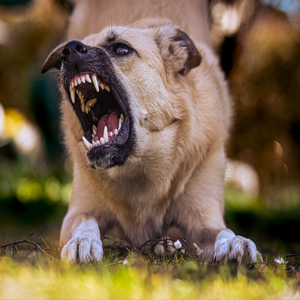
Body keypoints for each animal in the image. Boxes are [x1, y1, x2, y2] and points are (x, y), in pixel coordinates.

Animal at [41, 0, 258, 262]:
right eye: (66, 52)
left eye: (121, 49)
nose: (69, 49)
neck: (139, 167)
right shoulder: (78, 211)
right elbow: (86, 219)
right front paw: (83, 241)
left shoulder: (205, 219)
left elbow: (222, 231)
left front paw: (236, 243)